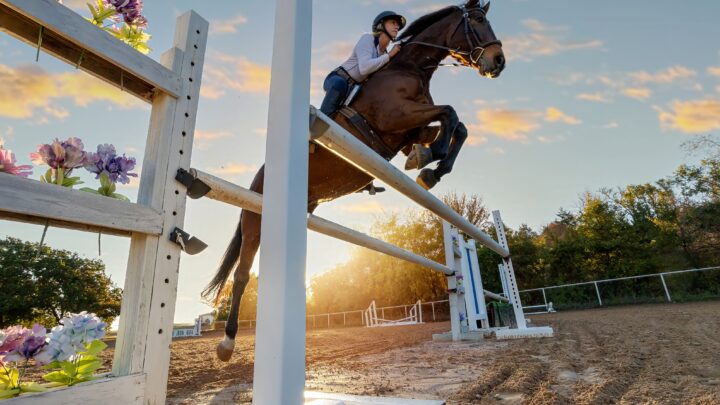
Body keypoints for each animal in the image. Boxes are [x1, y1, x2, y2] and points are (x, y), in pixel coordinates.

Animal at [206, 0, 505, 361]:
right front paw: (428, 163)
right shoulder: (396, 116)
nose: (499, 61)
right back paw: (227, 343)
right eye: (478, 19)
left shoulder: (409, 130)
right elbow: (449, 112)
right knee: (242, 275)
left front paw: (430, 166)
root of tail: (257, 179)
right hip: (255, 221)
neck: (408, 69)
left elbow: (458, 126)